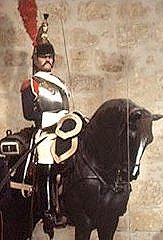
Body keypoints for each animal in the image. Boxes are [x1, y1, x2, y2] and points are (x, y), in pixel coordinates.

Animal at [0, 98, 163, 240]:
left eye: (149, 140)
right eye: (130, 136)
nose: (130, 174)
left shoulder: (110, 221)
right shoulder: (84, 223)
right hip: (14, 219)